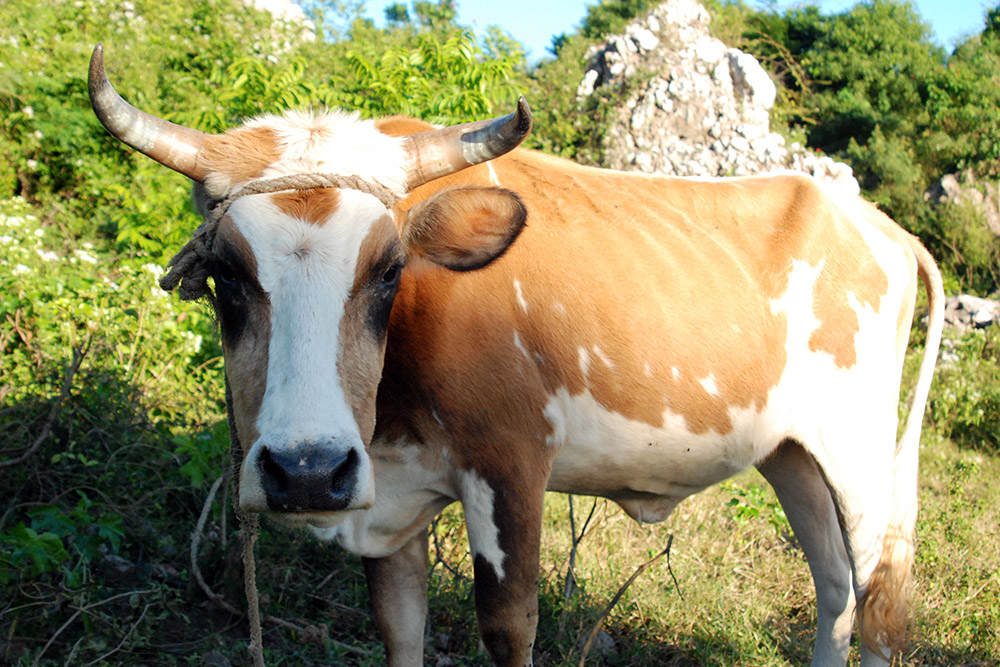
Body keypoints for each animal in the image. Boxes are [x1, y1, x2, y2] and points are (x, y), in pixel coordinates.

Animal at [90, 44, 943, 667]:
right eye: (226, 272)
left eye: (390, 269)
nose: (306, 470)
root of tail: (874, 221)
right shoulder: (387, 499)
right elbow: (399, 626)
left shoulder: (511, 463)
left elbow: (508, 626)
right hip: (792, 452)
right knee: (834, 590)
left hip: (860, 453)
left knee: (878, 597)